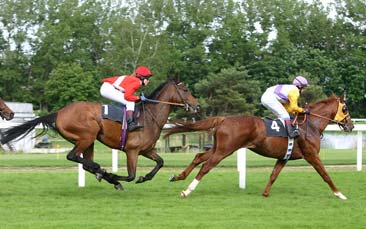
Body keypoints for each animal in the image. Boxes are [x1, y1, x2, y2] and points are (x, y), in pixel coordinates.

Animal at [0, 77, 200, 190]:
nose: (197, 106)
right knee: (73, 156)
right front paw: (115, 177)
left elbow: (160, 162)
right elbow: (130, 175)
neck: (149, 117)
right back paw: (103, 172)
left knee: (83, 162)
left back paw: (101, 172)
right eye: (185, 90)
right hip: (88, 135)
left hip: (89, 141)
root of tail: (59, 112)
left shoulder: (146, 150)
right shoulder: (132, 150)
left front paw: (144, 178)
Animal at [166, 94, 354, 199]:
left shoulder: (283, 157)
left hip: (218, 147)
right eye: (345, 108)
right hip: (225, 150)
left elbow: (273, 175)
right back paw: (187, 191)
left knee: (198, 157)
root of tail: (224, 118)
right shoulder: (312, 155)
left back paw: (178, 176)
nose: (351, 126)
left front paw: (265, 193)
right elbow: (325, 175)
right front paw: (340, 194)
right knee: (206, 166)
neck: (311, 125)